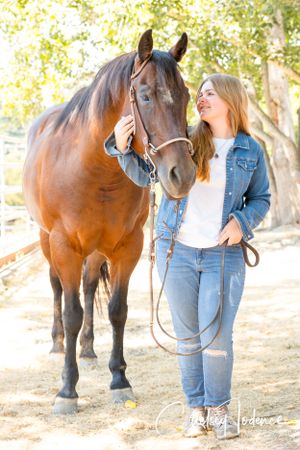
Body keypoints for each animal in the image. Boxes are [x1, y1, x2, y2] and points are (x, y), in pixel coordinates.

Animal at [24, 29, 197, 414]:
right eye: (145, 96)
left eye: (187, 95)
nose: (182, 175)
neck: (93, 167)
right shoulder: (64, 246)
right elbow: (71, 311)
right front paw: (67, 390)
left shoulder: (127, 246)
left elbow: (118, 310)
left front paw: (119, 380)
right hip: (47, 242)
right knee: (57, 288)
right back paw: (58, 343)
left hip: (96, 251)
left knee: (89, 287)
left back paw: (87, 349)